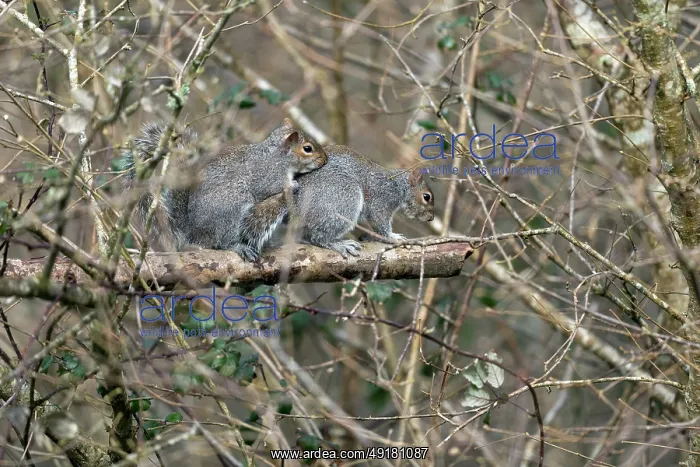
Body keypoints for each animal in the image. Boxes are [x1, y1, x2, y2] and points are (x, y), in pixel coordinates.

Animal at [119, 118, 327, 261]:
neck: (277, 157)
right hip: (231, 208)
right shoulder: (265, 176)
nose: (324, 160)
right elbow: (269, 188)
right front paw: (292, 185)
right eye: (307, 148)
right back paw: (237, 246)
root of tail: (194, 234)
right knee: (221, 243)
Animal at [284, 145, 435, 258]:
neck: (397, 185)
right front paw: (393, 236)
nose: (431, 218)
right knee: (319, 237)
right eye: (426, 197)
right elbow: (380, 222)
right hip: (344, 197)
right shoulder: (381, 198)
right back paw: (339, 244)